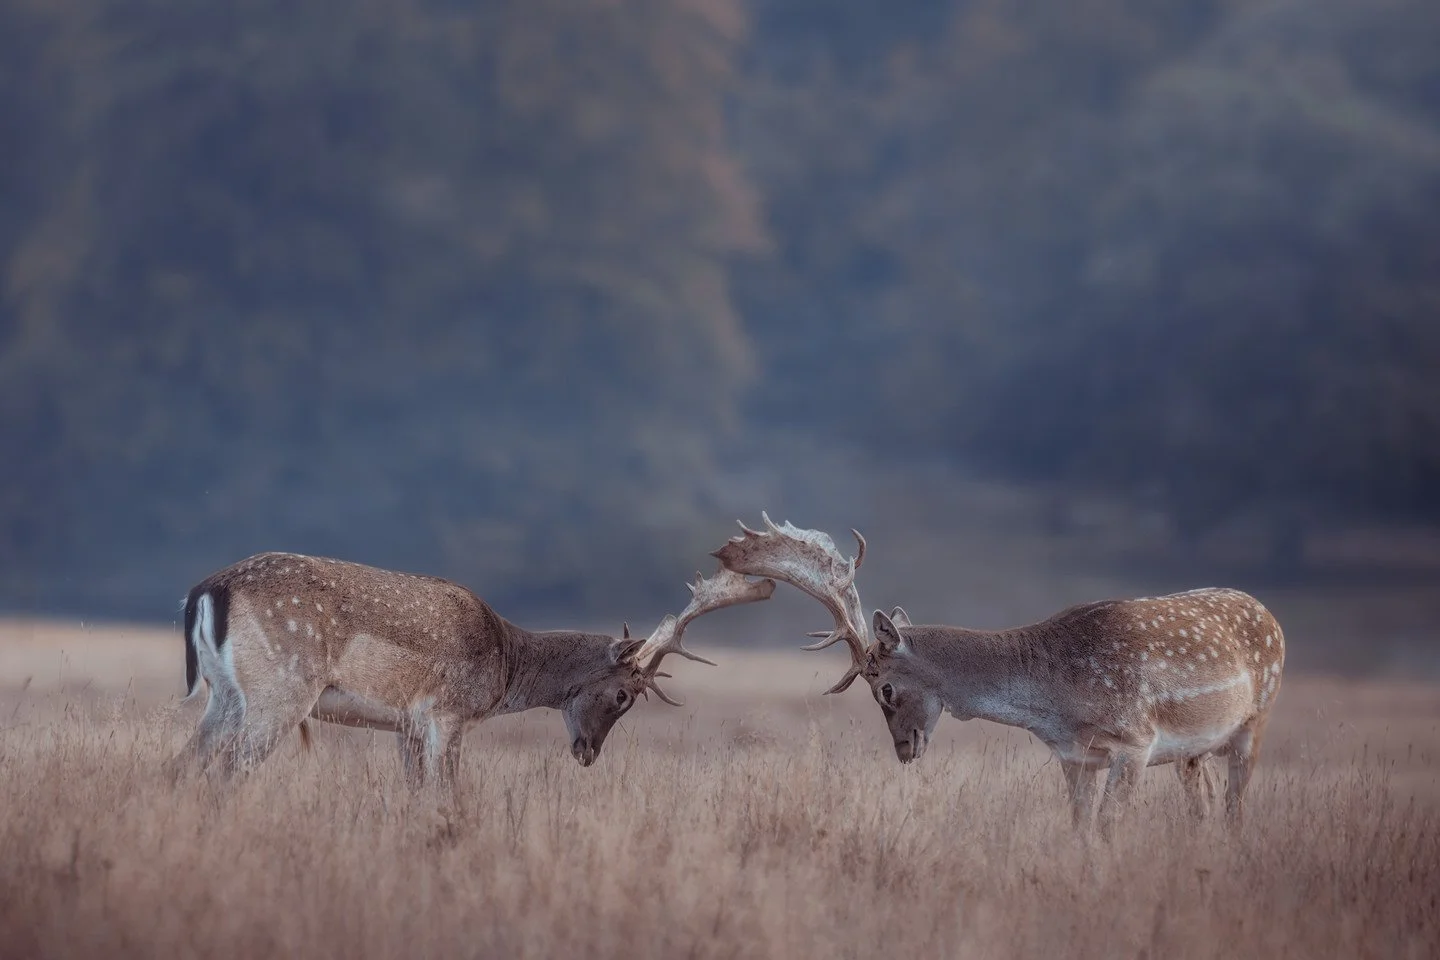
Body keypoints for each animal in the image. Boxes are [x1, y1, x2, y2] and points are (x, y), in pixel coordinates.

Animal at [167, 551, 775, 789]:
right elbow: (449, 795)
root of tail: (205, 591)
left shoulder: (406, 725)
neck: (506, 664)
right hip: (282, 691)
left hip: (226, 696)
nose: (588, 753)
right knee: (225, 774)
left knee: (182, 766)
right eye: (624, 696)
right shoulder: (448, 715)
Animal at [712, 513, 1285, 837]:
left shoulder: (1135, 741)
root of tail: (1270, 614)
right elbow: (1079, 830)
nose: (903, 750)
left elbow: (1108, 827)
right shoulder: (1076, 757)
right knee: (1205, 806)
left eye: (885, 687)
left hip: (1256, 721)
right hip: (1194, 753)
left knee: (1235, 809)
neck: (1060, 704)